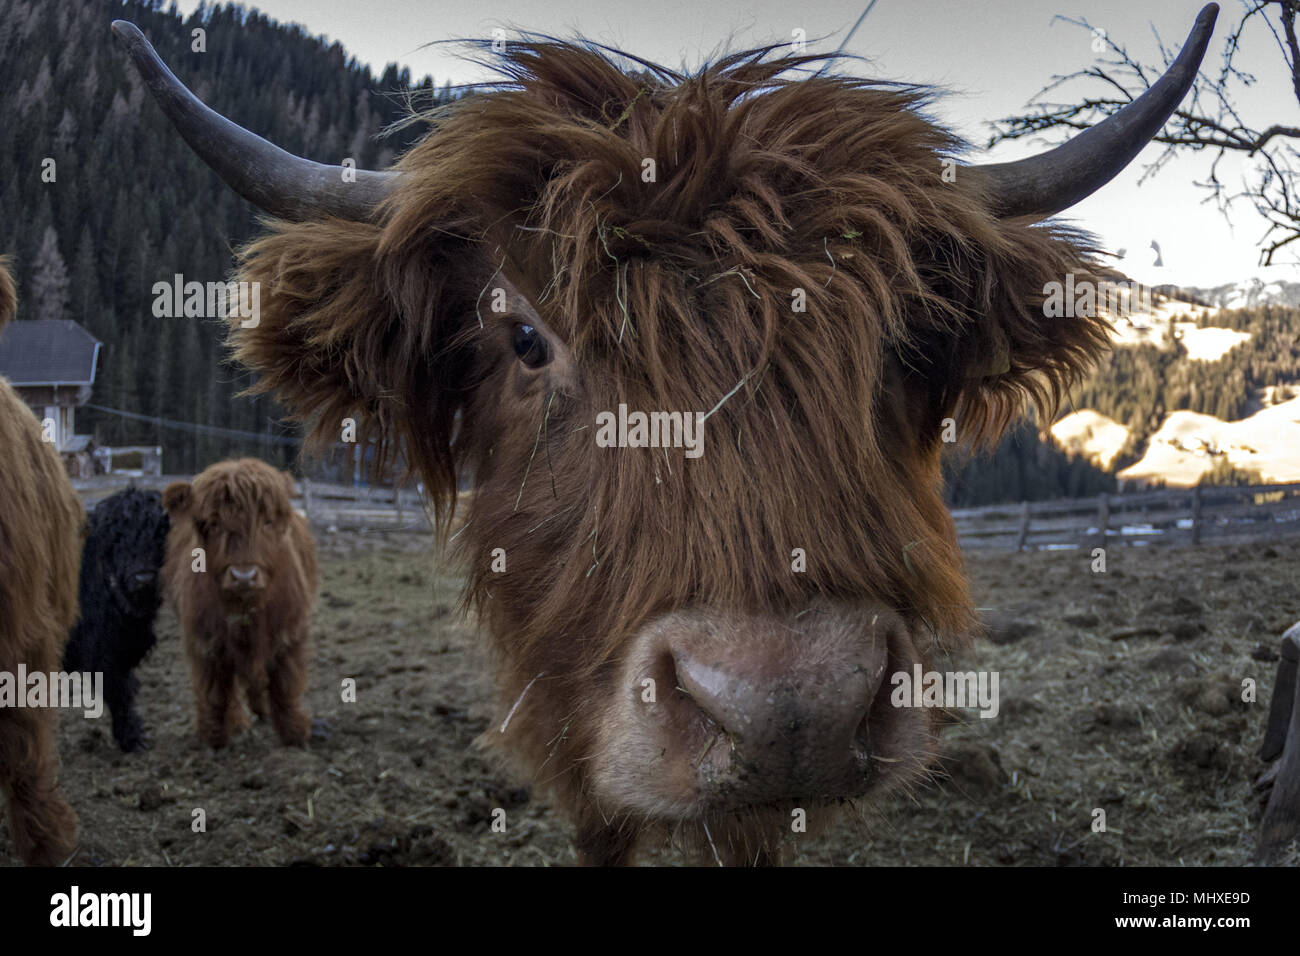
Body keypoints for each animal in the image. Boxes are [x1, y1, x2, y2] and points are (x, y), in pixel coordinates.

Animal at [63, 489, 170, 753]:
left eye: (160, 534)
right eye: (117, 538)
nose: (143, 578)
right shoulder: (102, 653)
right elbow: (118, 693)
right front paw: (132, 739)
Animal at [161, 459, 317, 749]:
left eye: (267, 522)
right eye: (213, 523)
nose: (244, 576)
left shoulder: (290, 633)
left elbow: (285, 684)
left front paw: (295, 734)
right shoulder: (205, 641)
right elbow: (214, 692)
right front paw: (215, 737)